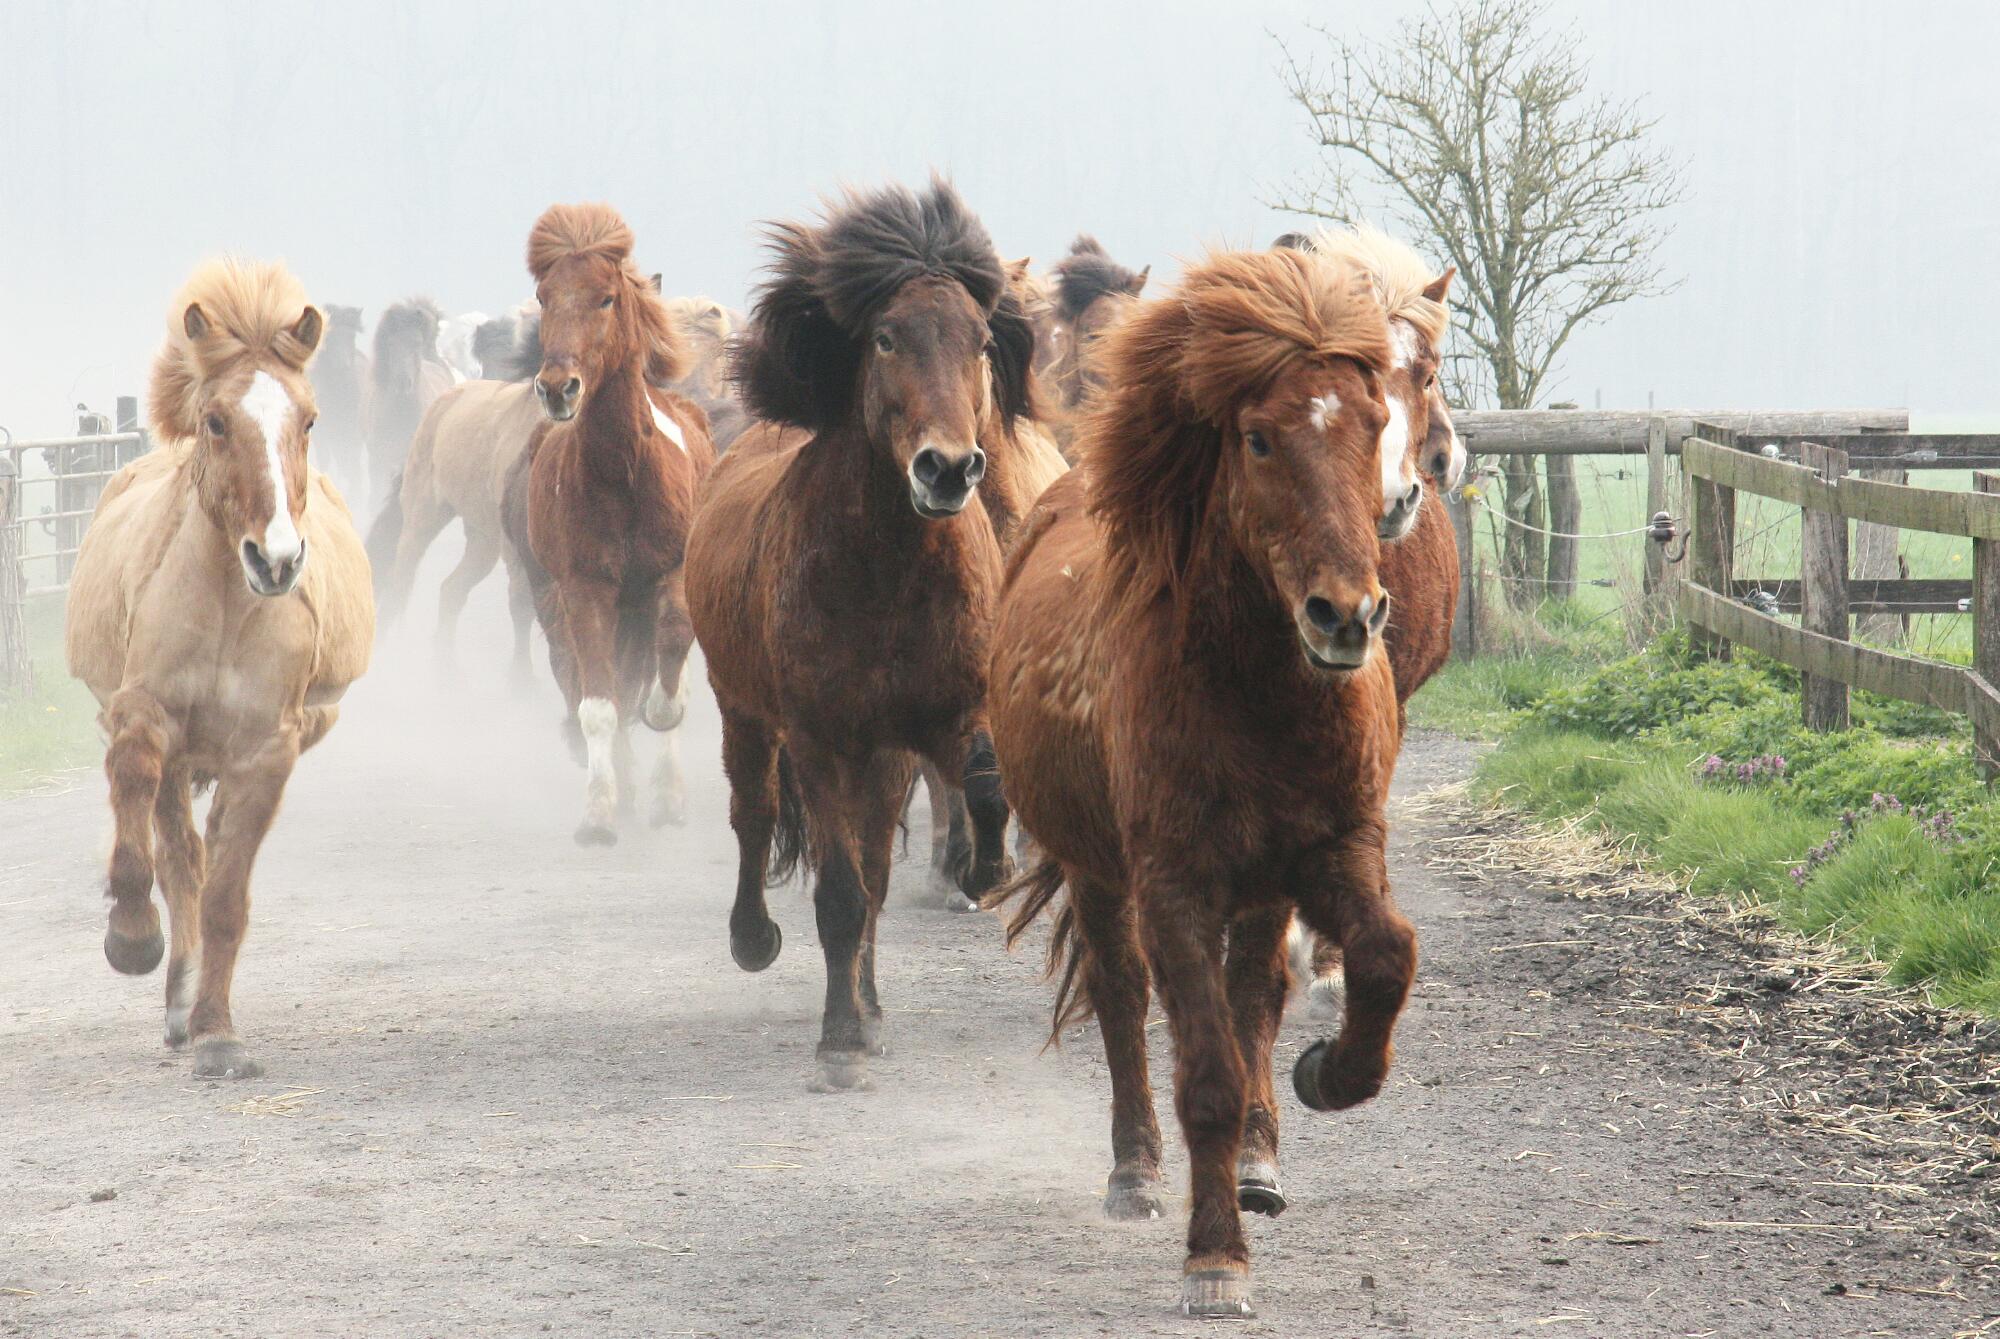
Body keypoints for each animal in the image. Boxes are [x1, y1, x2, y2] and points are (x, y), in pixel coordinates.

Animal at [511, 202, 714, 842]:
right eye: (544, 296)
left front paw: (662, 736)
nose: (557, 388)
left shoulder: (670, 574)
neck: (624, 476)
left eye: (605, 298)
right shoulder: (585, 587)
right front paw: (599, 810)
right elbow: (599, 700)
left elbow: (667, 663)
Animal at [684, 178, 1034, 1092]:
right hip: (745, 713)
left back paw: (873, 1000)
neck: (889, 574)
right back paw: (756, 940)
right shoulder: (820, 737)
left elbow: (982, 786)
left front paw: (985, 871)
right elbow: (839, 892)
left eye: (983, 340)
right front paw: (839, 1041)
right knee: (754, 813)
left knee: (875, 862)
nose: (947, 468)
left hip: (882, 758)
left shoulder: (939, 718)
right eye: (885, 336)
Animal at [986, 247, 1418, 1320]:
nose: (1347, 615)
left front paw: (1328, 1073)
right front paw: (1215, 1260)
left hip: (1261, 886)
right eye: (1258, 438)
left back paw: (1262, 1161)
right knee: (1120, 998)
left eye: (1375, 422)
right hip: (1099, 872)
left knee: (1255, 991)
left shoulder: (1338, 849)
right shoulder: (1173, 883)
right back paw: (1136, 1171)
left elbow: (1383, 957)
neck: (1258, 695)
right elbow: (1205, 1075)